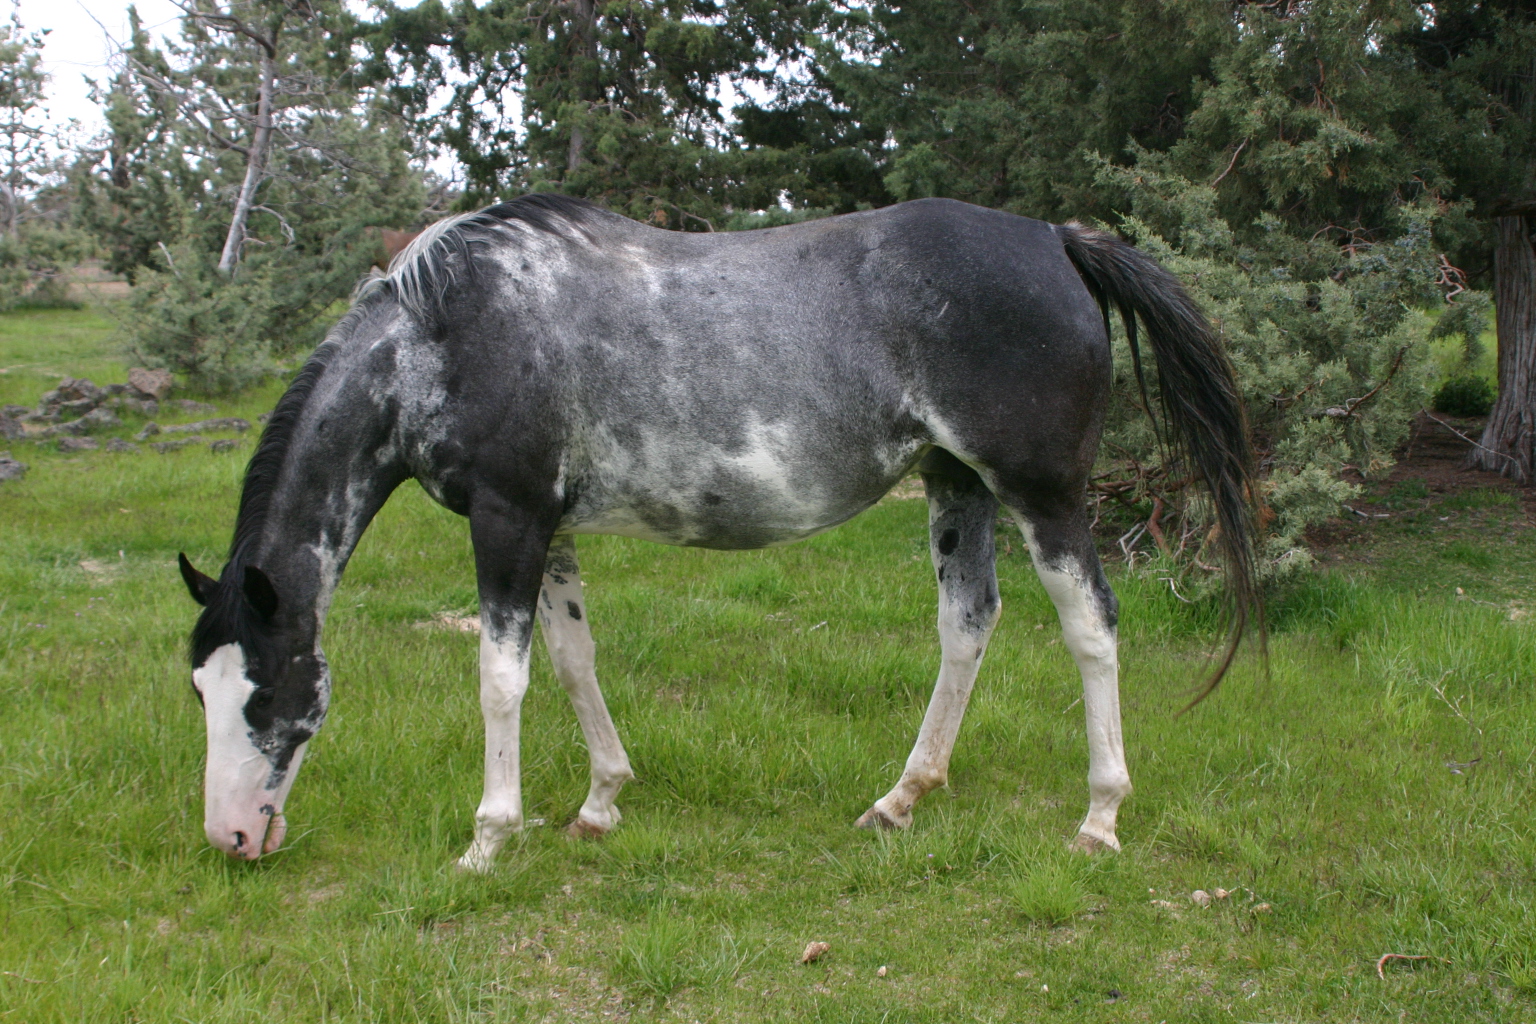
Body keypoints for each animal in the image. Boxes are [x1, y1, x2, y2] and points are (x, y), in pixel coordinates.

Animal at [177, 194, 1257, 871]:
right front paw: (600, 802)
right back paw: (900, 799)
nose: (231, 838)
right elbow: (571, 661)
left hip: (1042, 492)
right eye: (199, 688)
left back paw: (1099, 819)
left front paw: (488, 838)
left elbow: (500, 680)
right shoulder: (548, 530)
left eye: (264, 691)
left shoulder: (508, 519)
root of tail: (1056, 239)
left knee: (1091, 628)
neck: (442, 332)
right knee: (969, 623)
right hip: (959, 485)